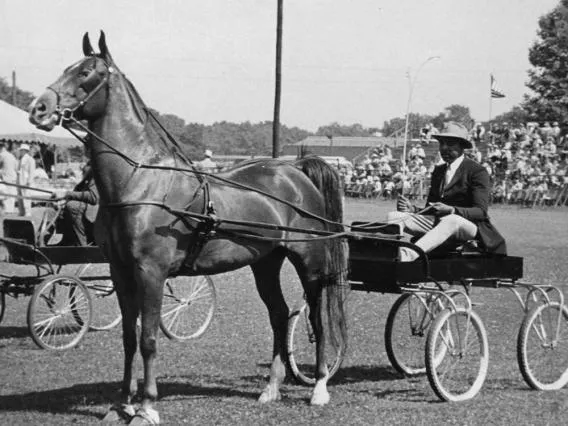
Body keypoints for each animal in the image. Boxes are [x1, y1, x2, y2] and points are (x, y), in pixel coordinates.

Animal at [31, 31, 350, 424]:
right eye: (68, 68)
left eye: (87, 72)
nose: (39, 108)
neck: (139, 182)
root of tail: (296, 170)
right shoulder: (121, 271)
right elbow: (129, 338)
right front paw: (122, 405)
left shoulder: (151, 272)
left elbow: (149, 339)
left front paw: (147, 406)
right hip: (265, 262)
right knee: (278, 314)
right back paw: (271, 388)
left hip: (309, 262)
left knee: (317, 318)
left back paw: (319, 387)